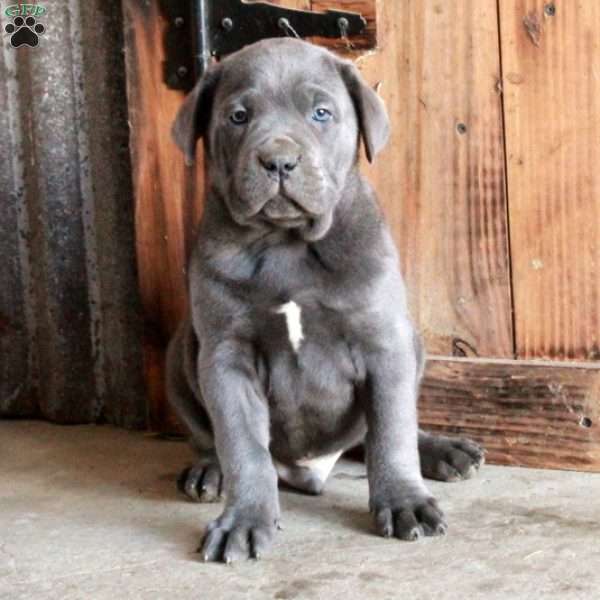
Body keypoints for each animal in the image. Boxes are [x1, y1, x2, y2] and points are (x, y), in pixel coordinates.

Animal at [166, 37, 486, 564]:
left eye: (321, 113)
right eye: (238, 117)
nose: (278, 161)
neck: (287, 244)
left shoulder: (383, 343)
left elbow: (391, 430)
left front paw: (405, 503)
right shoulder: (226, 357)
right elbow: (242, 444)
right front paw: (243, 521)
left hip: (412, 342)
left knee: (382, 431)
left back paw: (445, 452)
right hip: (182, 353)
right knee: (209, 435)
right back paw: (208, 471)